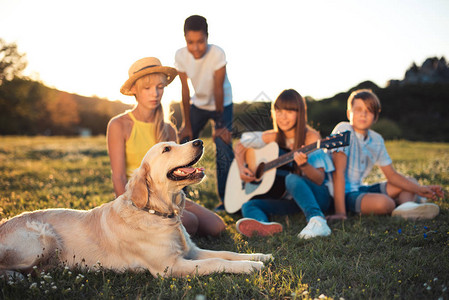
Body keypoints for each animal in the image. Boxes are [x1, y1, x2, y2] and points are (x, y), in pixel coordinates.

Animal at [0, 139, 270, 278]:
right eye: (167, 149)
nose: (199, 140)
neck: (160, 214)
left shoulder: (191, 251)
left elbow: (227, 253)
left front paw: (260, 256)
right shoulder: (170, 266)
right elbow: (216, 262)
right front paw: (250, 267)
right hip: (43, 238)